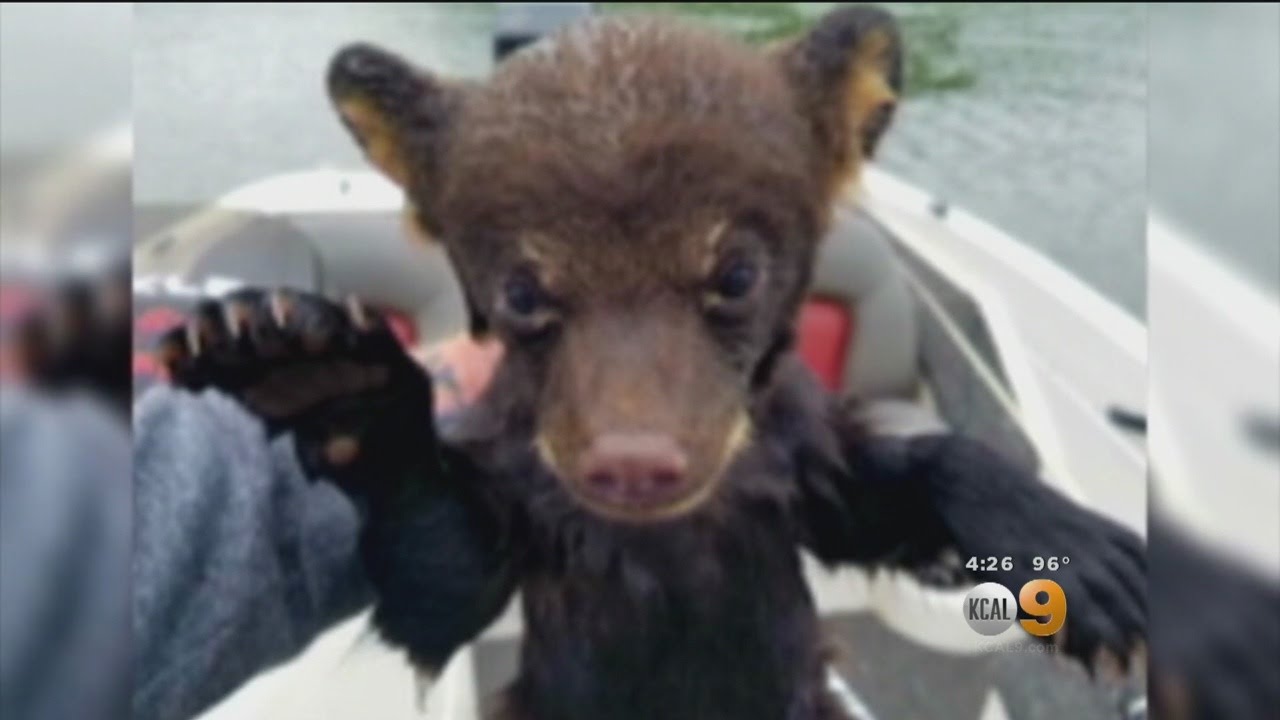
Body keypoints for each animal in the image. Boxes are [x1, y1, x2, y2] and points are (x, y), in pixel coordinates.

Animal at [158, 6, 1145, 719]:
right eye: (523, 290)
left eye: (737, 273)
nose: (633, 464)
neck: (668, 534)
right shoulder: (525, 498)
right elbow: (439, 580)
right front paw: (312, 365)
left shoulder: (787, 474)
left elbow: (895, 485)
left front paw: (1090, 563)